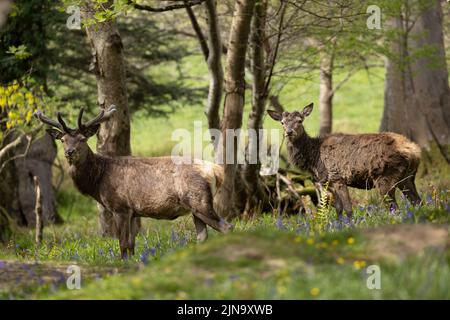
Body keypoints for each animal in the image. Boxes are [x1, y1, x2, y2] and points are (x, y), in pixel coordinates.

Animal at [35, 106, 232, 258]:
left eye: (83, 139)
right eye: (62, 140)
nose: (69, 152)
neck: (98, 180)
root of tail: (216, 171)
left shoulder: (119, 207)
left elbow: (122, 245)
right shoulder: (133, 212)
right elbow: (131, 245)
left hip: (199, 201)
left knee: (226, 226)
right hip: (194, 208)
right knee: (203, 236)